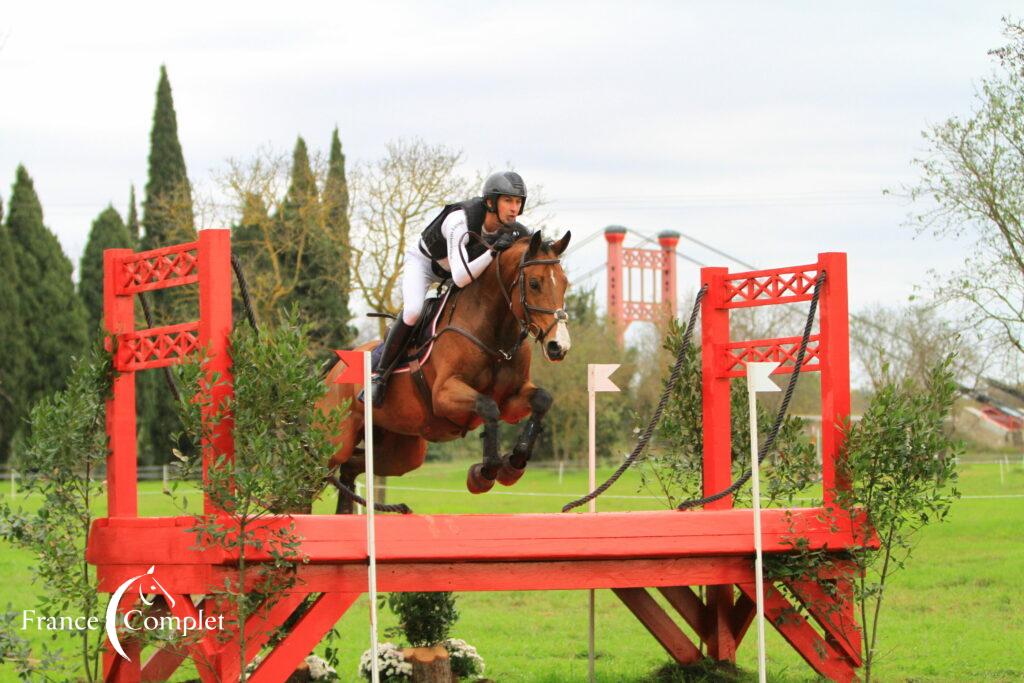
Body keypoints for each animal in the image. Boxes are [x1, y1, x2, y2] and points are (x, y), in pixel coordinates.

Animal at [319, 229, 573, 507]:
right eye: (535, 283)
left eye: (565, 284)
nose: (559, 346)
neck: (495, 338)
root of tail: (336, 366)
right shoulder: (444, 395)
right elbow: (487, 406)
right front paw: (485, 472)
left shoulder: (511, 399)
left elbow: (541, 399)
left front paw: (513, 464)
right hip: (335, 440)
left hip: (401, 452)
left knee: (351, 467)